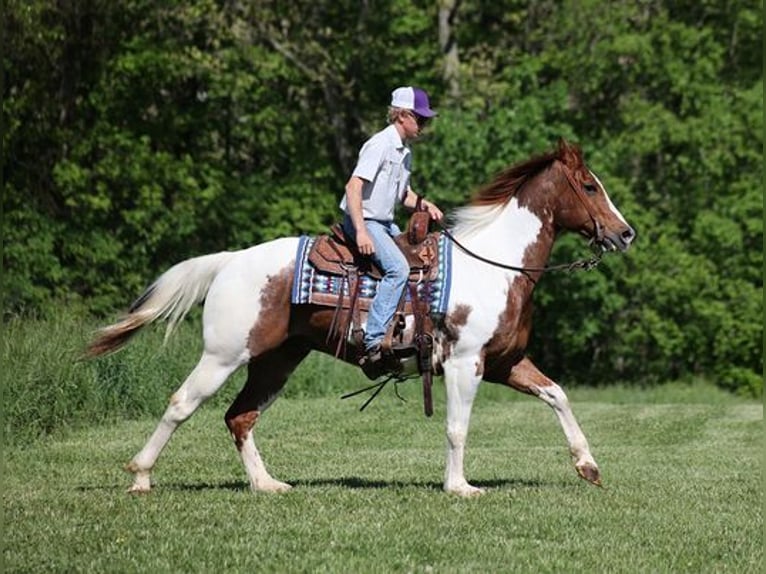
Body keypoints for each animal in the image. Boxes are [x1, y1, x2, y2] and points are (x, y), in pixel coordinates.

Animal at [85, 137, 636, 498]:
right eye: (589, 186)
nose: (625, 233)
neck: (495, 266)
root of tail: (229, 260)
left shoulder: (504, 362)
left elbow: (557, 395)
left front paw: (588, 466)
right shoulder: (465, 364)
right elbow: (457, 427)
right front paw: (460, 487)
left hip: (276, 360)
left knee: (239, 416)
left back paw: (267, 484)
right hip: (223, 354)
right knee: (182, 404)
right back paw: (141, 477)